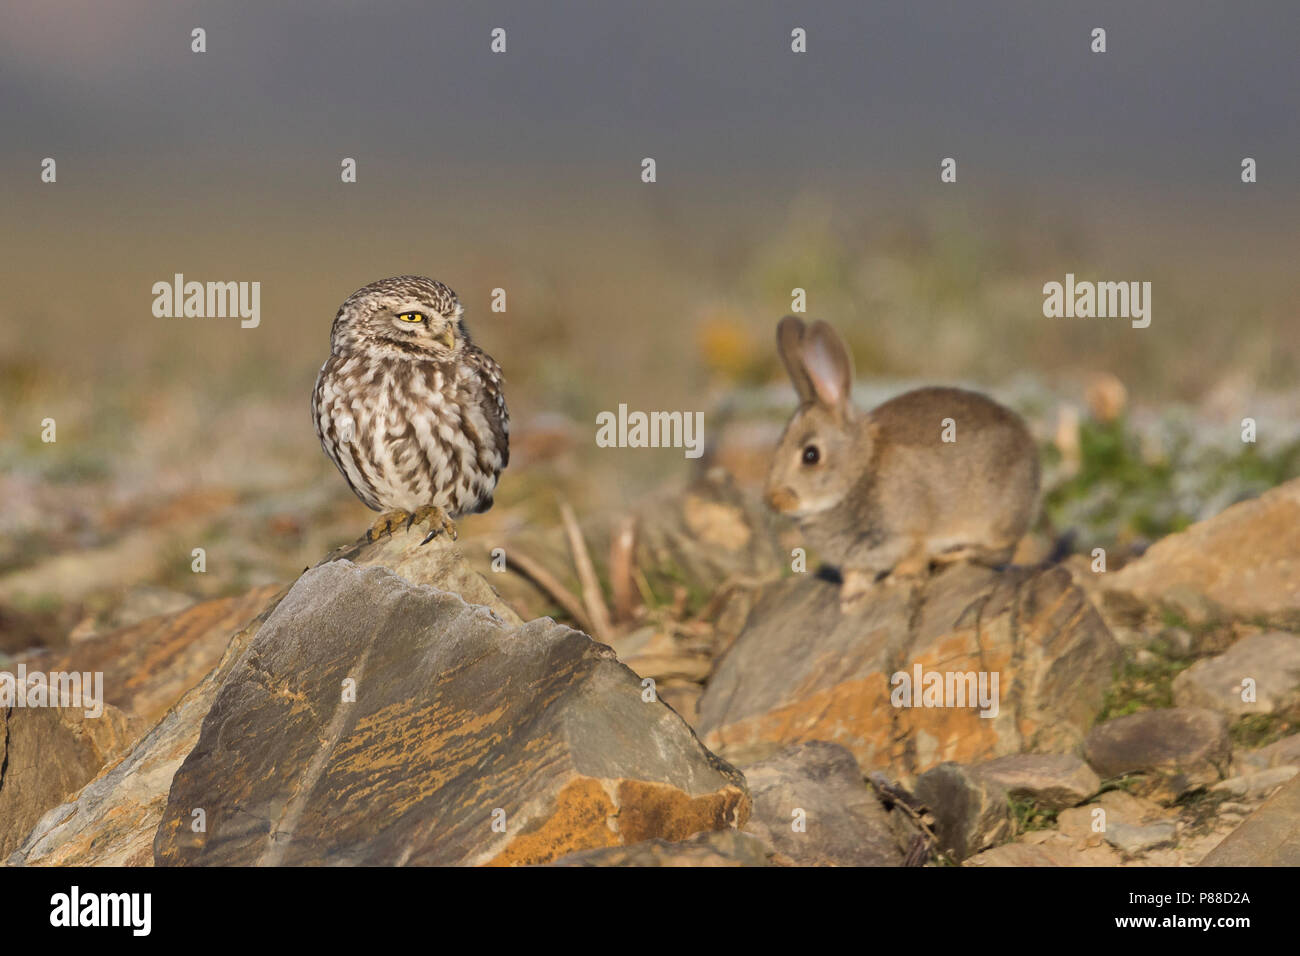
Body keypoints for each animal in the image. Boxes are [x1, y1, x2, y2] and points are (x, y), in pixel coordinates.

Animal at [764, 314, 1040, 598]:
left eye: (811, 455)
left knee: (1000, 550)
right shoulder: (859, 560)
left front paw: (898, 579)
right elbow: (856, 575)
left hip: (993, 518)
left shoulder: (913, 533)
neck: (860, 471)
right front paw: (850, 598)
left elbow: (914, 556)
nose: (773, 501)